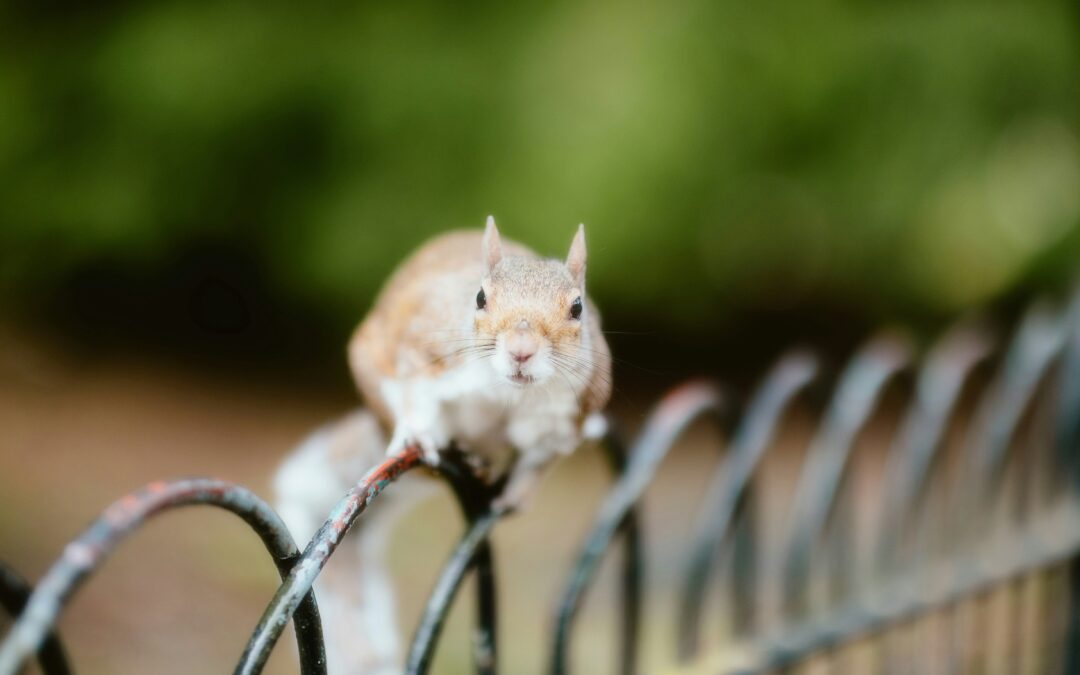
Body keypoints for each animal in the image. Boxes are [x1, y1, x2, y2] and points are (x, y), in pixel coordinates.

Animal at [273, 217, 611, 674]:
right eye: (480, 298)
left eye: (578, 308)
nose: (521, 351)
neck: (510, 393)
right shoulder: (423, 354)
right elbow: (412, 392)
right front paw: (418, 432)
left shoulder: (569, 420)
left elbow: (539, 463)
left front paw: (517, 493)